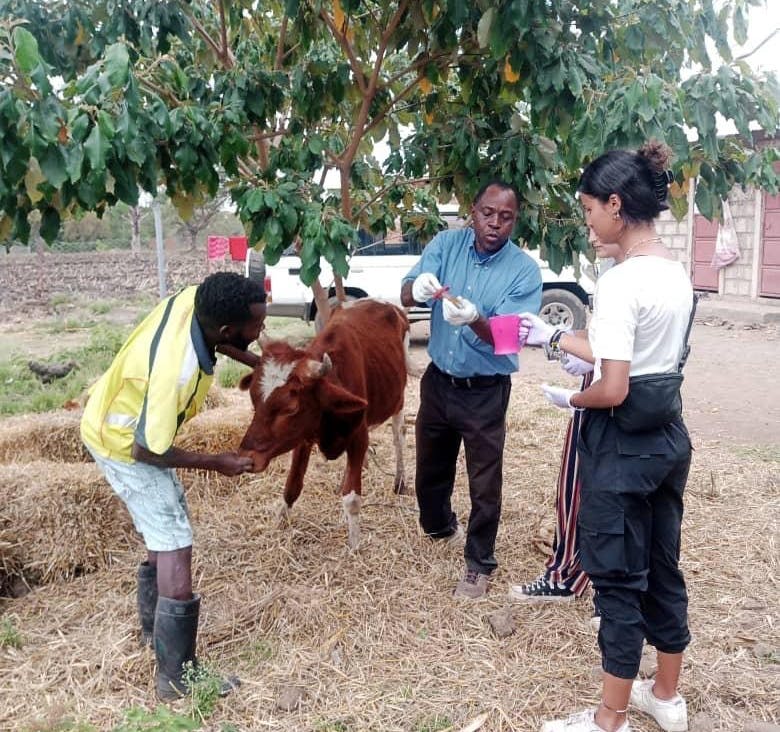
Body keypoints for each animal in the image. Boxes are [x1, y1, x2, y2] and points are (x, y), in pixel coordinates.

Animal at [239, 298, 412, 548]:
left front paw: (354, 544)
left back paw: (400, 480)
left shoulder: (358, 436)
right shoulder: (303, 437)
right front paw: (279, 522)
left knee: (399, 436)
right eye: (254, 400)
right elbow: (292, 485)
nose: (246, 457)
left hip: (398, 399)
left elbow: (352, 498)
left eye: (291, 409)